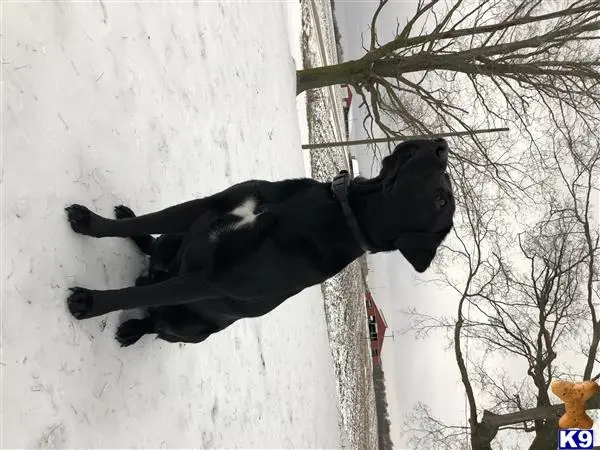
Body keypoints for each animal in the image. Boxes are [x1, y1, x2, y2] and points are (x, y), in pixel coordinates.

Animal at [64, 139, 454, 346]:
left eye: (441, 199)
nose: (441, 145)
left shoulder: (211, 279)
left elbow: (138, 297)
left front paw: (90, 303)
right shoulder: (210, 206)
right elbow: (150, 220)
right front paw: (89, 222)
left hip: (191, 326)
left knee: (156, 317)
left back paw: (133, 329)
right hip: (176, 242)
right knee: (152, 250)